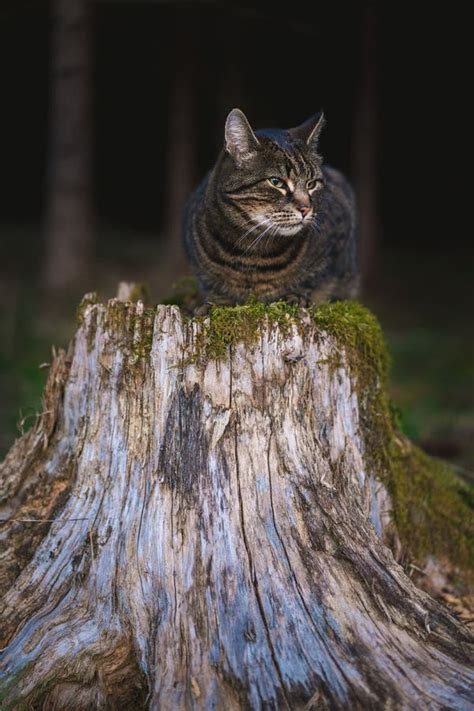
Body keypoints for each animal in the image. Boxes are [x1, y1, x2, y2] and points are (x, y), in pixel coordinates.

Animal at [183, 108, 358, 306]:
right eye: (276, 182)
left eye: (311, 184)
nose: (306, 209)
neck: (253, 250)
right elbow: (210, 284)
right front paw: (213, 302)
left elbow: (315, 279)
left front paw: (296, 296)